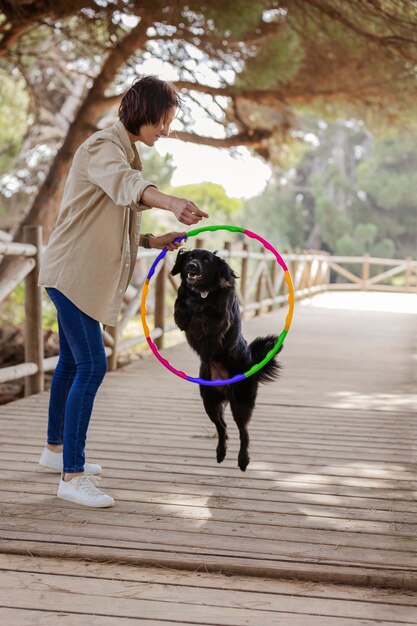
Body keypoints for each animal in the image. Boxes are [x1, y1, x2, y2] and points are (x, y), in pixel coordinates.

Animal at [171, 247, 282, 468]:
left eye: (206, 260)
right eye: (190, 257)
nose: (191, 266)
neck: (203, 292)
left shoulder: (222, 318)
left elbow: (207, 316)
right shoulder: (182, 310)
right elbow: (182, 308)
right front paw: (189, 306)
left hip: (241, 402)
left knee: (243, 431)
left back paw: (243, 459)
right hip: (209, 400)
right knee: (222, 427)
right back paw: (220, 452)